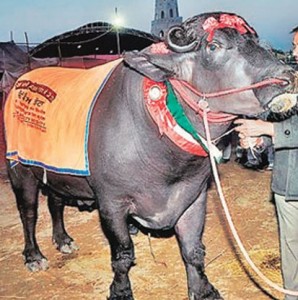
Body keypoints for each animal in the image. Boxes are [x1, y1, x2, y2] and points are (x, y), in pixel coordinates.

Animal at [4, 12, 298, 300]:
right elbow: (123, 254)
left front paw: (204, 290)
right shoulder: (111, 203)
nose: (288, 77)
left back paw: (63, 239)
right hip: (19, 168)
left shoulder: (194, 197)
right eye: (214, 46)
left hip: (54, 171)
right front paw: (121, 291)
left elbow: (193, 250)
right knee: (28, 212)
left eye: (257, 43)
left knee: (55, 201)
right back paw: (34, 255)